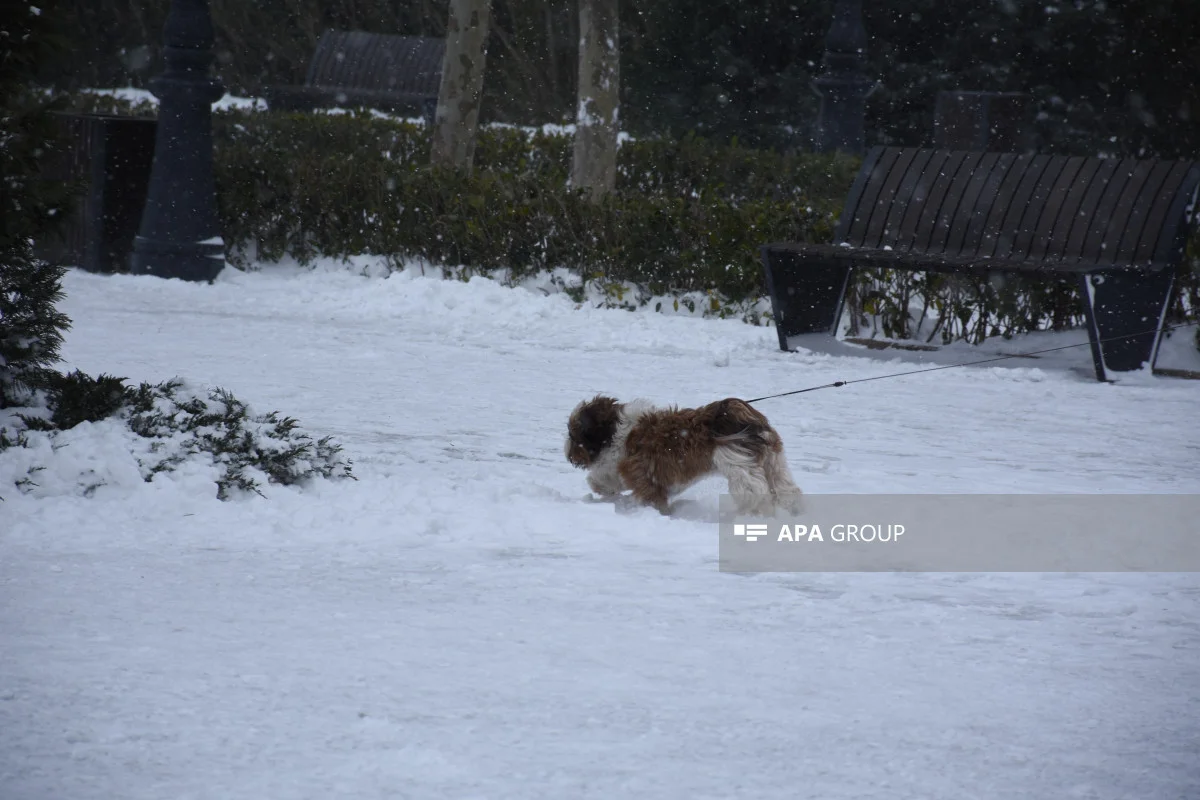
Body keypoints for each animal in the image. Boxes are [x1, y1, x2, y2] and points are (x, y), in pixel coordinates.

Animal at [564, 393, 806, 513]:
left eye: (573, 434)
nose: (567, 452)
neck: (616, 430)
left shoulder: (639, 473)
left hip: (739, 466)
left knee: (755, 493)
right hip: (774, 461)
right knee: (785, 488)